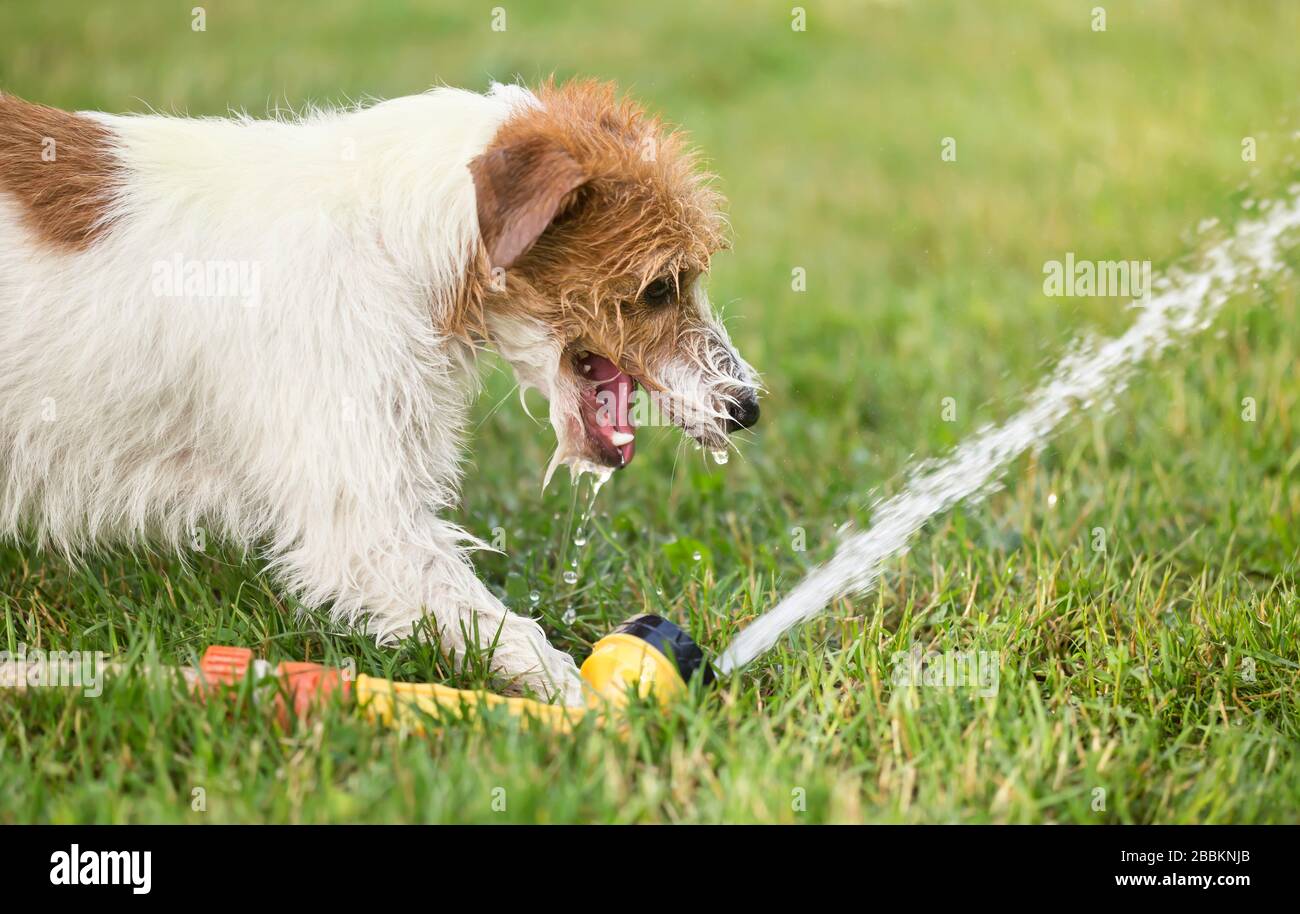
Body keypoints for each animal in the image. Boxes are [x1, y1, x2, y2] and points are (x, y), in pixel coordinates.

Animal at [0, 80, 759, 707]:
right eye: (658, 288)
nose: (747, 407)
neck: (390, 242)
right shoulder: (365, 523)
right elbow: (499, 626)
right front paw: (589, 708)